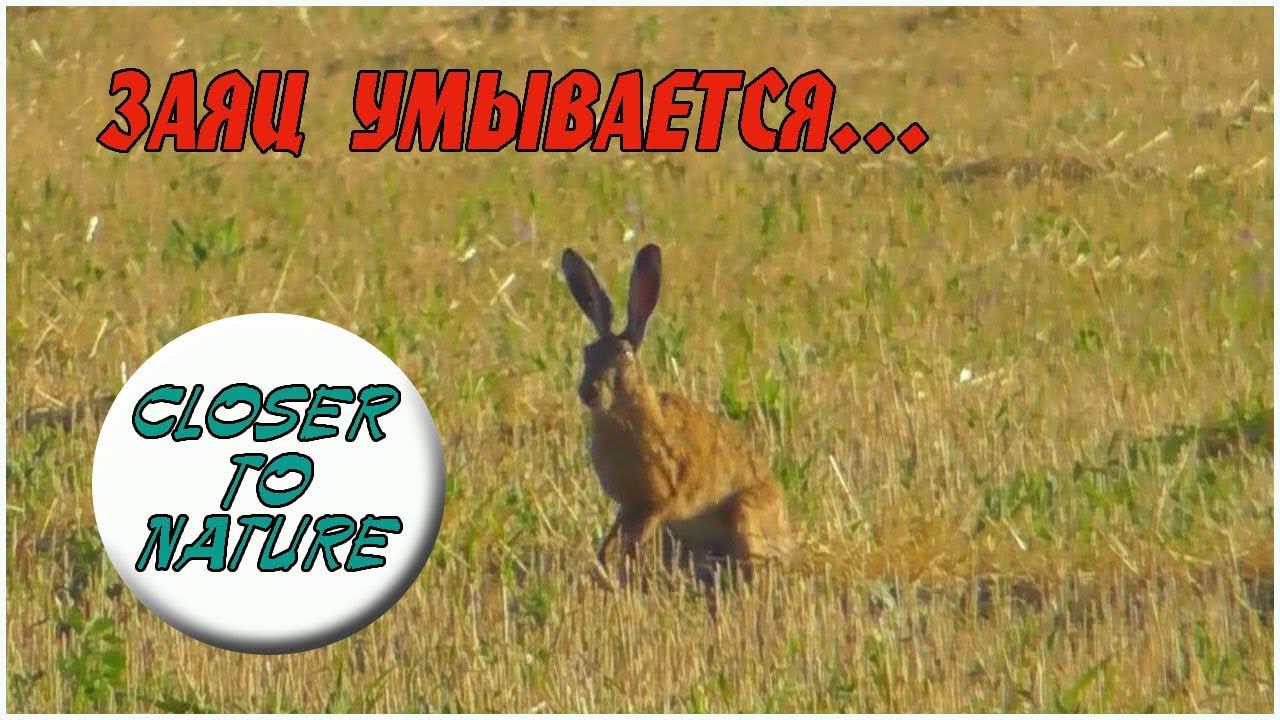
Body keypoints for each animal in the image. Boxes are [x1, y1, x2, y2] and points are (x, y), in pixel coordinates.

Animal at [561, 243, 791, 584]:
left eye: (624, 356)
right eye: (587, 352)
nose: (588, 391)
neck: (622, 414)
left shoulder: (660, 500)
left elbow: (633, 543)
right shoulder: (628, 505)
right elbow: (614, 536)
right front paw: (602, 567)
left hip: (744, 514)